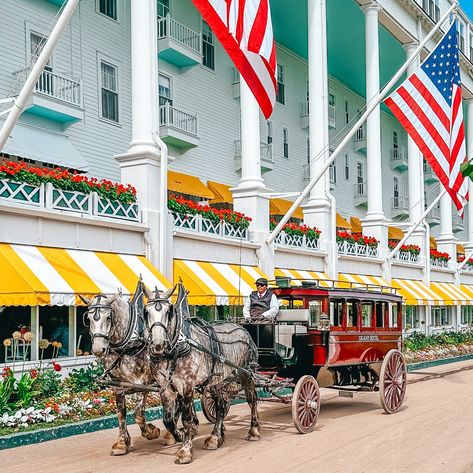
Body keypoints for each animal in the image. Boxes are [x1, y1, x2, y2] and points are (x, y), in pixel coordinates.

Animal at [80, 292, 163, 454]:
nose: (99, 350)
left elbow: (138, 414)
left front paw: (151, 431)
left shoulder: (141, 383)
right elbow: (120, 413)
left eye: (108, 317)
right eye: (89, 318)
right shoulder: (117, 385)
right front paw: (122, 442)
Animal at [146, 284, 260, 464]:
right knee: (221, 406)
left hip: (245, 374)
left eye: (168, 311)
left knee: (252, 399)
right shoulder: (166, 388)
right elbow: (168, 420)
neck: (176, 349)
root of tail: (243, 329)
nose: (158, 345)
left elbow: (186, 418)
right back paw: (215, 437)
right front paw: (181, 436)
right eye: (146, 311)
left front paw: (185, 449)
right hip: (219, 381)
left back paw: (253, 430)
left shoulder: (187, 386)